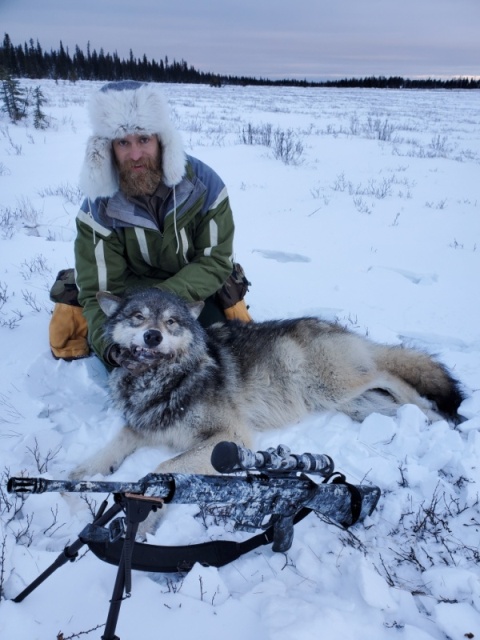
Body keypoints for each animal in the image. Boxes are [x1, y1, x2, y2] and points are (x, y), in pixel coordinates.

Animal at [69, 286, 464, 484]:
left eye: (170, 322)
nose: (152, 336)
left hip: (336, 385)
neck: (161, 380)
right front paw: (77, 480)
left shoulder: (229, 437)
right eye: (137, 317)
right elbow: (108, 450)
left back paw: (435, 415)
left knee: (390, 373)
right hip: (353, 404)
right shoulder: (143, 426)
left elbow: (162, 468)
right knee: (390, 397)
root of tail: (331, 325)